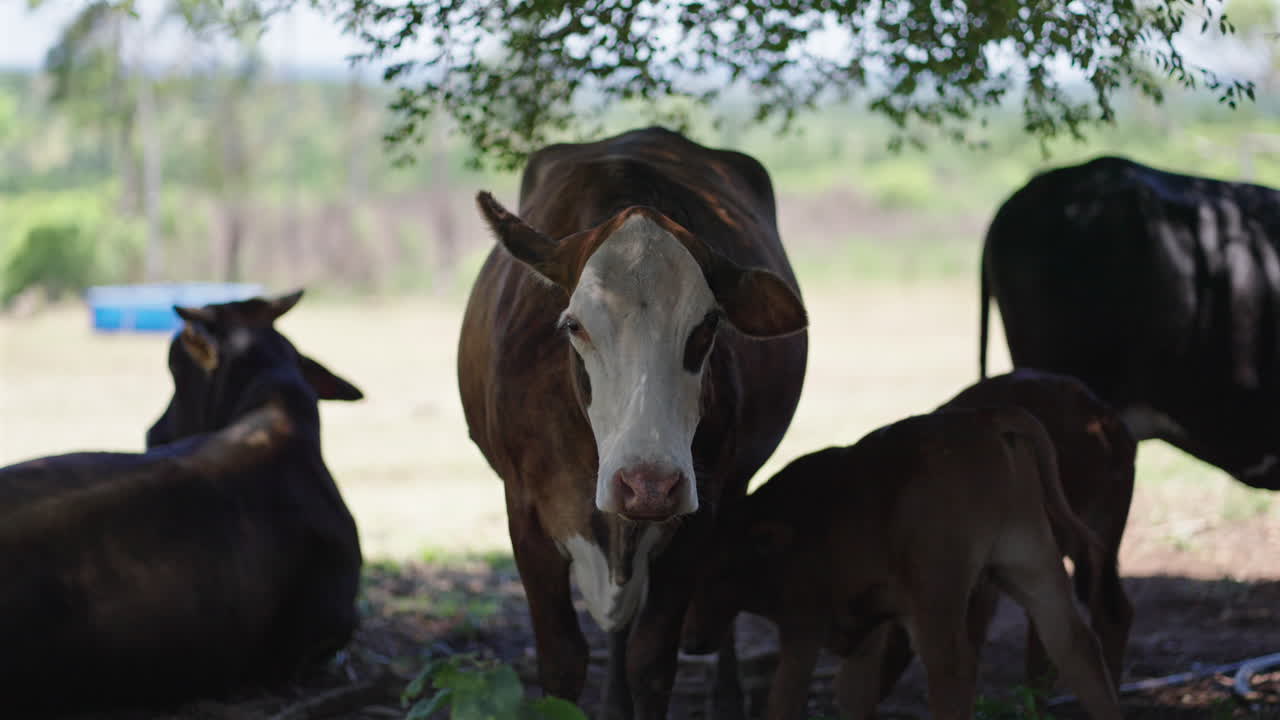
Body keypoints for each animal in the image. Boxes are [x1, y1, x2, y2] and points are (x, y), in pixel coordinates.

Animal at [457, 126, 808, 718]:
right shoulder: (524, 512)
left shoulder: (699, 512)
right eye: (574, 325)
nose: (648, 485)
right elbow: (563, 661)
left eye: (708, 325)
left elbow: (652, 662)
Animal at [683, 407, 1123, 720]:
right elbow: (853, 694)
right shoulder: (865, 630)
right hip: (1032, 563)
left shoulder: (803, 626)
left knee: (952, 669)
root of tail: (985, 419)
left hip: (936, 597)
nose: (692, 641)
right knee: (1073, 645)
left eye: (722, 570)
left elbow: (785, 700)